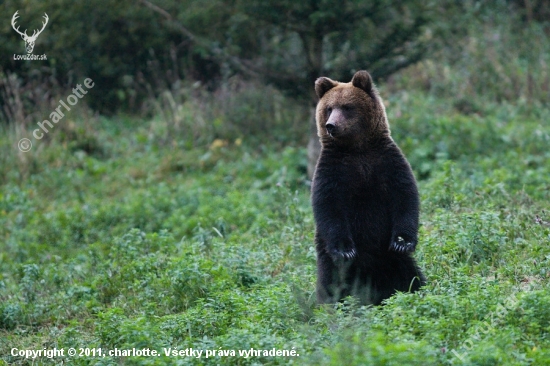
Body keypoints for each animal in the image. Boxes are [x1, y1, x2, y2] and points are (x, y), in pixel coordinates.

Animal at [310, 70, 426, 304]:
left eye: (347, 107)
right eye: (329, 108)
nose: (331, 125)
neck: (357, 149)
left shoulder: (385, 162)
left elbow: (405, 195)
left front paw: (403, 241)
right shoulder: (334, 171)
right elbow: (329, 206)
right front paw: (345, 250)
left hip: (390, 258)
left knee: (410, 275)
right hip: (327, 256)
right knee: (331, 281)